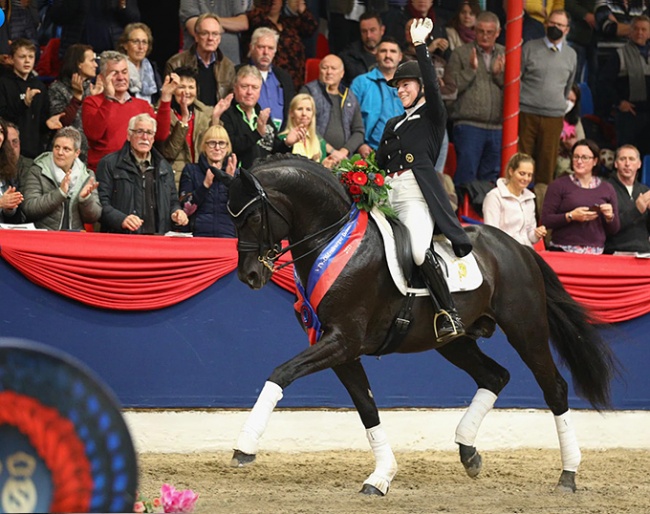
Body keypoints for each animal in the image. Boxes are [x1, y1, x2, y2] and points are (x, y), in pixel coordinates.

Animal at [227, 154, 616, 494]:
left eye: (252, 218)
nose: (249, 275)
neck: (336, 242)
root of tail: (519, 248)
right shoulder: (340, 348)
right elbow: (367, 408)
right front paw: (381, 476)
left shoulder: (343, 341)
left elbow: (281, 373)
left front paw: (245, 446)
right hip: (453, 341)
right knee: (495, 376)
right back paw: (468, 451)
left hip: (526, 329)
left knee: (554, 389)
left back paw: (568, 475)